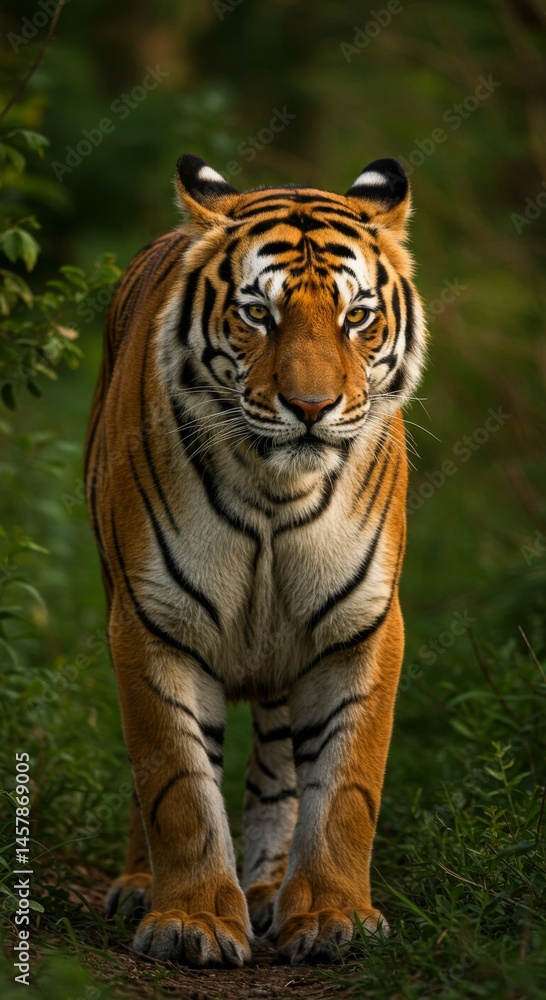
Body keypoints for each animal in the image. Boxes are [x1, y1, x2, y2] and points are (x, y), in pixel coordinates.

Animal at [84, 152, 426, 967]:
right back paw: (142, 884)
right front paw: (192, 922)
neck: (276, 490)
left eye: (356, 317)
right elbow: (177, 786)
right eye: (258, 314)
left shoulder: (361, 626)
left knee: (276, 774)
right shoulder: (151, 622)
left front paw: (332, 917)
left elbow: (345, 787)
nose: (311, 408)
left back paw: (269, 890)